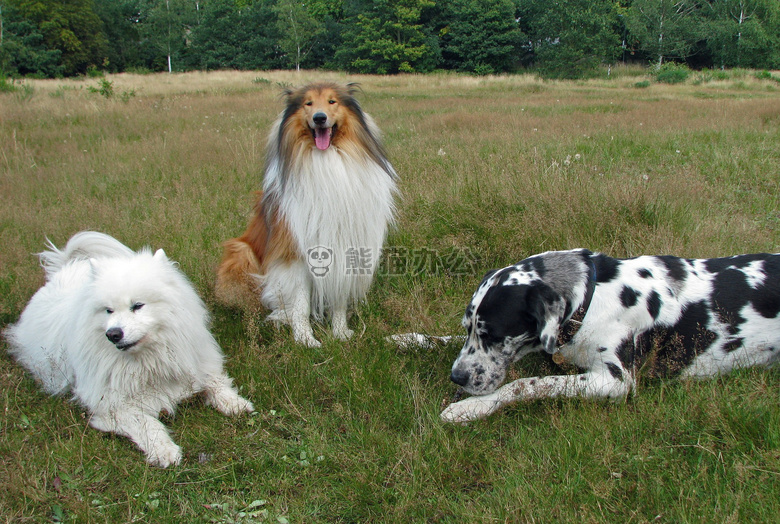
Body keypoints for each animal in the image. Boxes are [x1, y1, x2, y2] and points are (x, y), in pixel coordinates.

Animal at [6, 232, 256, 466]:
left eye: (137, 306)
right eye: (108, 310)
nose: (113, 334)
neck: (150, 360)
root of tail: (65, 269)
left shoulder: (197, 363)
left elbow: (216, 383)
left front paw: (236, 403)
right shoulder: (114, 406)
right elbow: (148, 423)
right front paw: (165, 450)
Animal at [216, 82, 396, 346]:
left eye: (332, 101)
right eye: (308, 103)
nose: (319, 118)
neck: (325, 160)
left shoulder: (345, 246)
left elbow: (339, 297)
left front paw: (340, 332)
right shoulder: (294, 252)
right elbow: (300, 303)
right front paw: (305, 339)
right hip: (241, 252)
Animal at [438, 248, 780, 424]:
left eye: (493, 335)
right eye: (468, 327)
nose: (457, 377)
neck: (591, 298)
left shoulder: (615, 381)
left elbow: (528, 384)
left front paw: (471, 407)